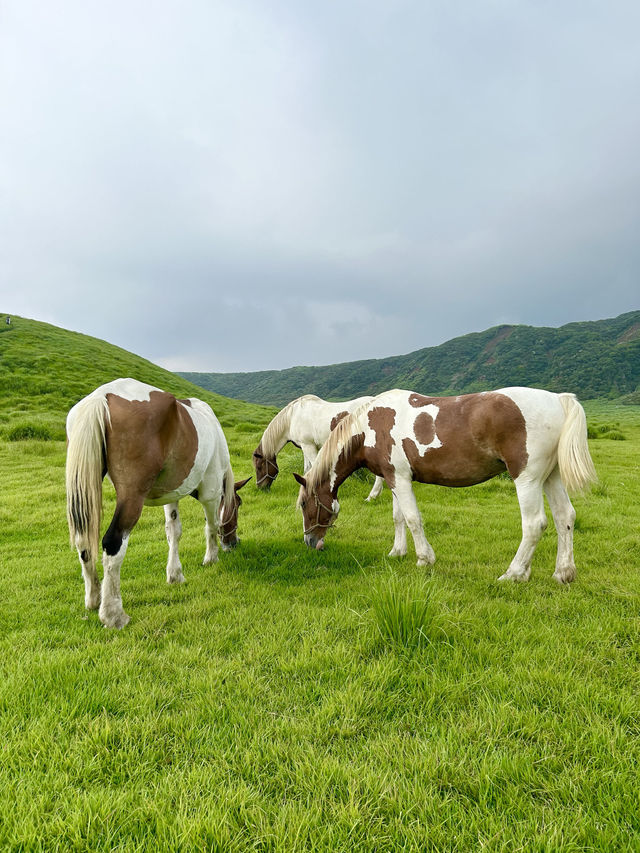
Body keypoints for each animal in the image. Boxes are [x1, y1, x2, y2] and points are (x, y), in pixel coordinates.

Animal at [65, 378, 250, 624]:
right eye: (237, 505)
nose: (234, 542)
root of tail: (101, 397)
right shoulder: (210, 492)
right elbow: (212, 526)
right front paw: (211, 558)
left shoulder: (171, 495)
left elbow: (174, 532)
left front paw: (175, 574)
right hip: (131, 498)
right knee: (113, 543)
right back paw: (113, 614)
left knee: (83, 543)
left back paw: (94, 599)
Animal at [252, 392, 384, 500]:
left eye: (259, 467)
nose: (260, 488)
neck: (292, 417)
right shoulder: (305, 447)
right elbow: (307, 469)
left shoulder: (309, 446)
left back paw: (372, 496)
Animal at [292, 388, 596, 584]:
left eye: (304, 504)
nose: (309, 542)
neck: (370, 426)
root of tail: (558, 400)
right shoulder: (393, 478)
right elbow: (398, 517)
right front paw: (397, 552)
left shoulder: (400, 479)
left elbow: (413, 519)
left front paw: (424, 559)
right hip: (551, 477)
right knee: (565, 518)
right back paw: (563, 573)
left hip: (527, 479)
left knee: (535, 524)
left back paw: (514, 574)